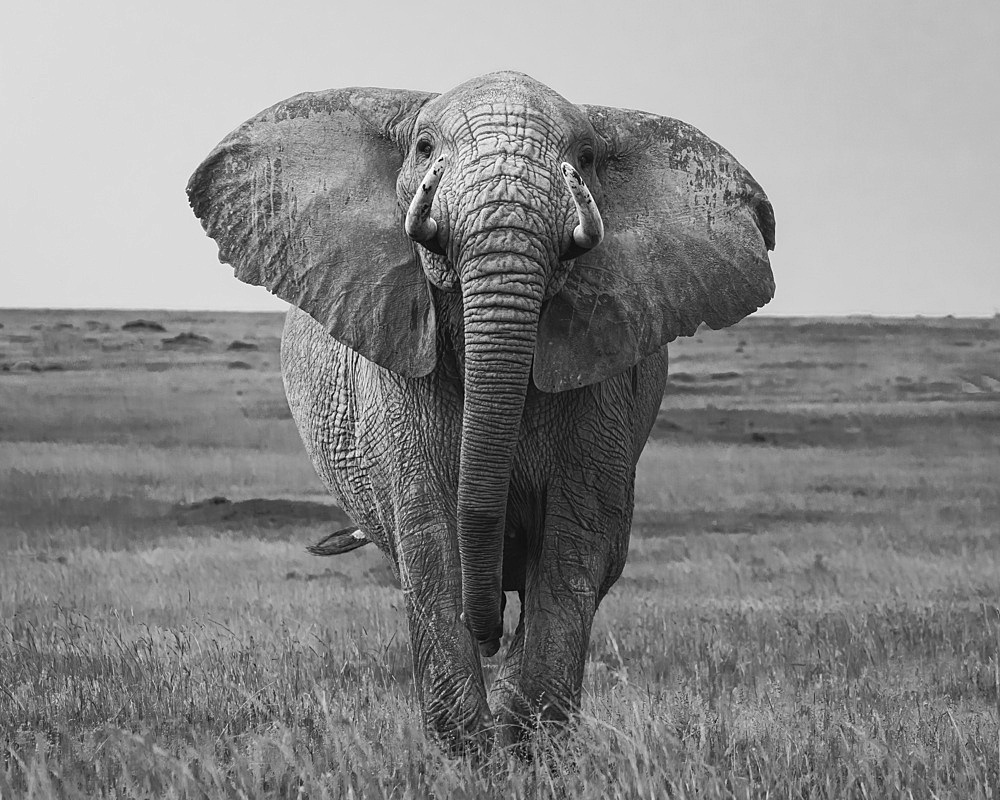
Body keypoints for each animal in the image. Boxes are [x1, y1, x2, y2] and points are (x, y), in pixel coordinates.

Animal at [189, 69, 780, 752]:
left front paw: (528, 750)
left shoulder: (607, 375)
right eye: (423, 149)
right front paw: (469, 756)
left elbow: (572, 550)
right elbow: (431, 543)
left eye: (585, 160)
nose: (488, 631)